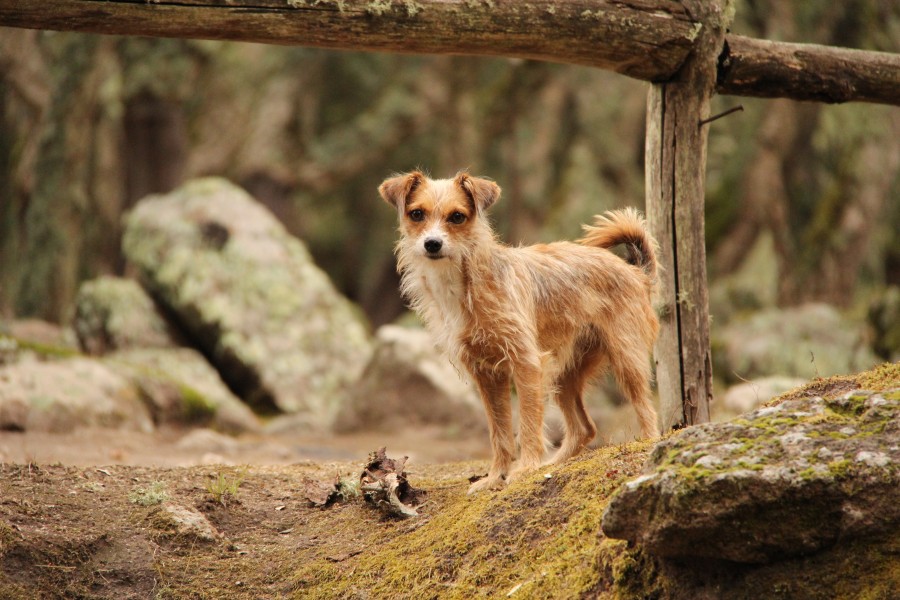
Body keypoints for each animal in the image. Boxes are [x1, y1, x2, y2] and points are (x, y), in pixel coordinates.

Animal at [380, 171, 660, 494]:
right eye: (417, 214)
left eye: (457, 217)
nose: (432, 243)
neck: (466, 283)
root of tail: (635, 272)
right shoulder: (487, 375)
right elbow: (499, 432)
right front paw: (494, 477)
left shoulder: (526, 363)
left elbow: (527, 423)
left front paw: (525, 468)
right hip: (564, 374)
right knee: (584, 429)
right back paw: (552, 464)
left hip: (626, 360)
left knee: (646, 412)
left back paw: (647, 445)